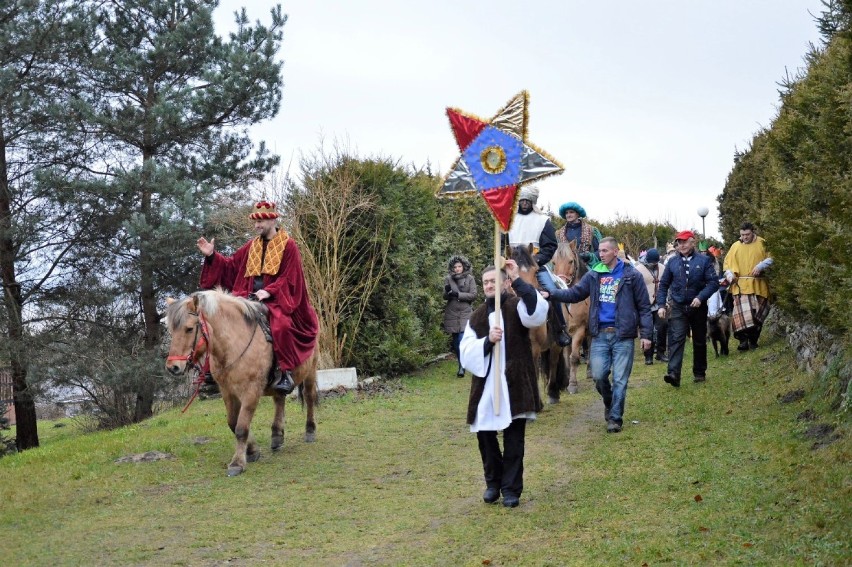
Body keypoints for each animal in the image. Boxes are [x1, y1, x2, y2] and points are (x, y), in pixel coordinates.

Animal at [163, 290, 316, 478]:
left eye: (189, 328)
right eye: (171, 331)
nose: (173, 367)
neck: (235, 343)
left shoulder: (251, 391)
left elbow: (242, 427)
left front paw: (237, 463)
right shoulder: (227, 391)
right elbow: (233, 423)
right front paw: (252, 450)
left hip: (311, 371)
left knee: (309, 397)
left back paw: (310, 430)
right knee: (279, 400)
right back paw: (277, 435)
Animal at [510, 244, 568, 404]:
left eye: (536, 271)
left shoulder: (534, 347)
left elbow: (534, 371)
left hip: (555, 344)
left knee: (553, 362)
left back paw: (552, 393)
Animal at [548, 241, 588, 394]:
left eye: (571, 261)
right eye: (553, 262)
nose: (560, 284)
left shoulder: (579, 330)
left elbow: (574, 357)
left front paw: (572, 384)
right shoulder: (565, 333)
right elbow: (566, 357)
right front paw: (566, 382)